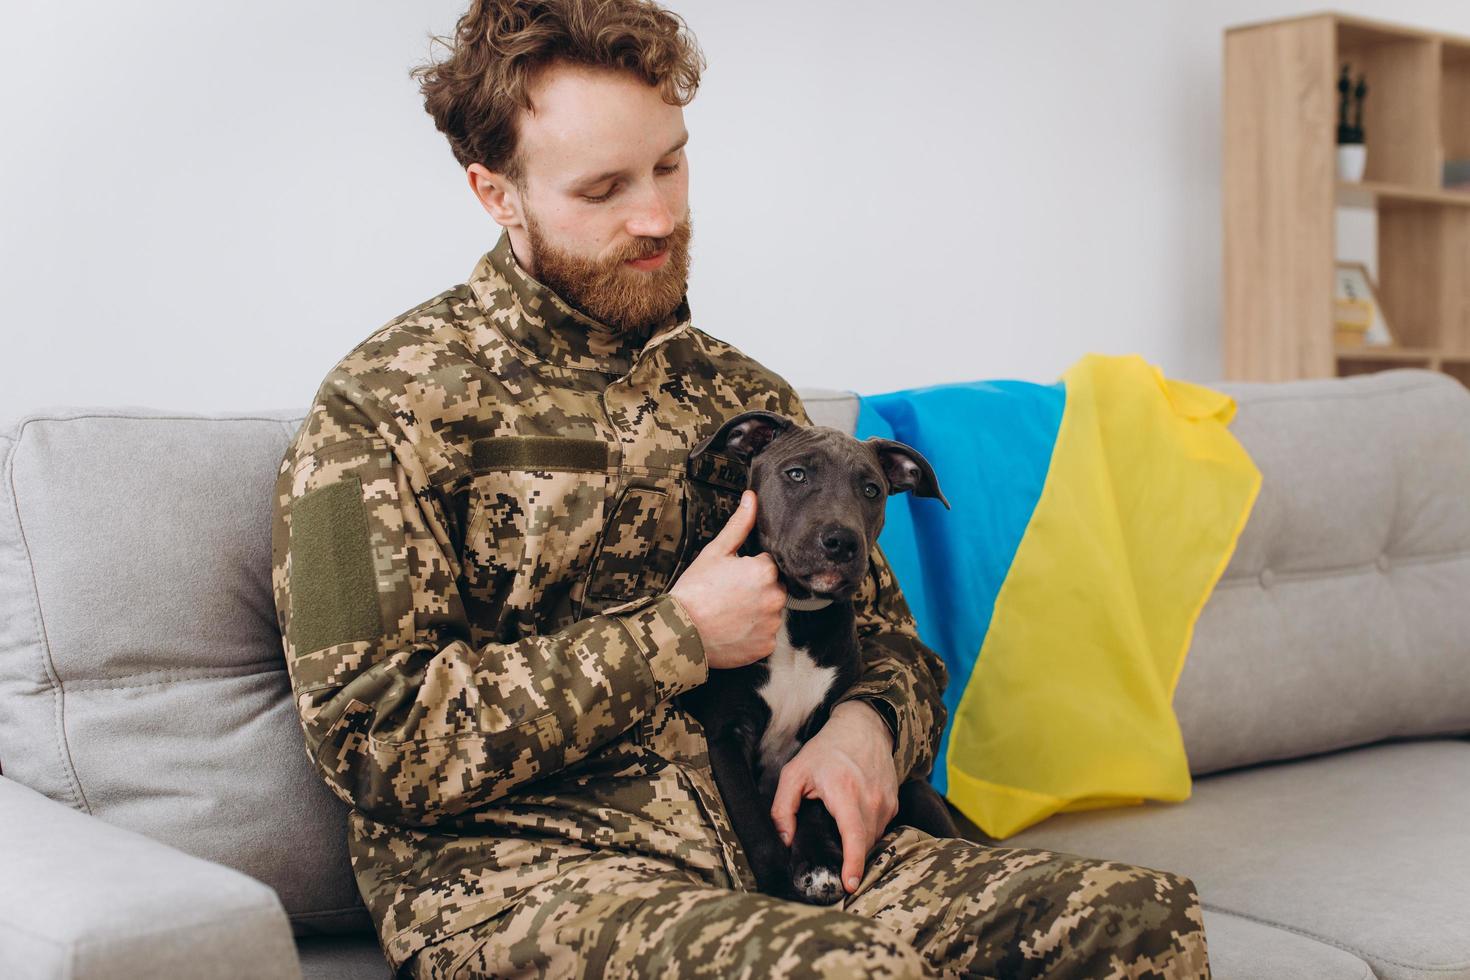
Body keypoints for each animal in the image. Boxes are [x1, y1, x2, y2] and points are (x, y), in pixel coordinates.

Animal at [673, 411, 952, 910]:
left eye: (871, 490)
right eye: (797, 474)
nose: (841, 542)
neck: (797, 614)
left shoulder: (824, 733)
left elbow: (817, 799)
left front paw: (818, 863)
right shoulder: (726, 735)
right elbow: (755, 823)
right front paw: (781, 887)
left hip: (919, 793)